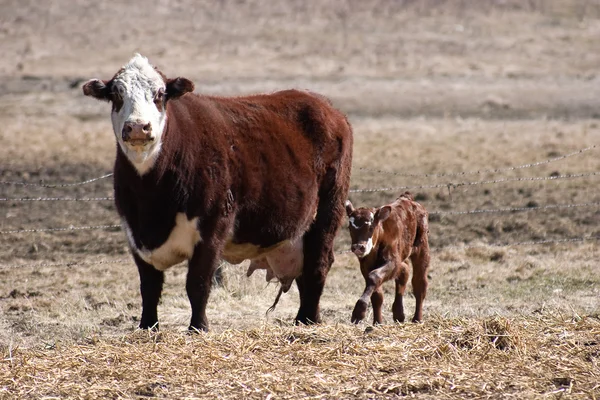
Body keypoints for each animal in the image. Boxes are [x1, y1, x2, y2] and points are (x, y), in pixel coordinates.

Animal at [80, 54, 352, 332]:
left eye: (159, 93)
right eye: (116, 94)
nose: (137, 127)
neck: (151, 196)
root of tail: (324, 106)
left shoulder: (213, 225)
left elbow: (198, 283)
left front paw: (198, 327)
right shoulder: (133, 230)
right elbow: (149, 286)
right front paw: (147, 326)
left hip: (330, 208)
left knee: (318, 263)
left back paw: (307, 319)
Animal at [344, 192, 428, 326]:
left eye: (371, 227)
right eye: (350, 227)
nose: (358, 247)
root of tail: (406, 198)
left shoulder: (392, 261)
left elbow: (374, 277)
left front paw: (359, 311)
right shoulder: (366, 265)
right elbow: (377, 294)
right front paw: (377, 322)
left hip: (422, 247)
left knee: (419, 283)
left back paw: (417, 319)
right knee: (404, 271)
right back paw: (399, 314)